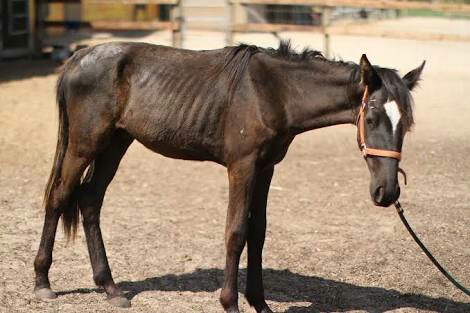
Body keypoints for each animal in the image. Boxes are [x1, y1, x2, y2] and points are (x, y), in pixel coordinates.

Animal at [35, 40, 426, 310]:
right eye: (371, 119)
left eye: (406, 124)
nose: (387, 193)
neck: (274, 92)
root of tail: (78, 57)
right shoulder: (242, 167)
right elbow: (236, 232)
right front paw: (231, 303)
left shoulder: (266, 168)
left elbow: (258, 232)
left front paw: (260, 303)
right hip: (84, 145)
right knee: (58, 197)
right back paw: (42, 282)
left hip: (116, 142)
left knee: (90, 200)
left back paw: (110, 288)